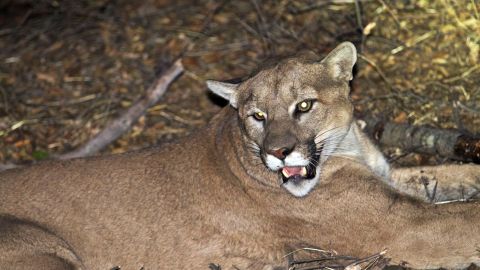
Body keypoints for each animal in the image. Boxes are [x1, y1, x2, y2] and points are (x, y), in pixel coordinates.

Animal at [0, 42, 480, 270]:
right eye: (257, 116)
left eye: (304, 105)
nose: (279, 151)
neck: (346, 146)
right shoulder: (404, 225)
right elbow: (467, 216)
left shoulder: (394, 183)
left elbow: (453, 176)